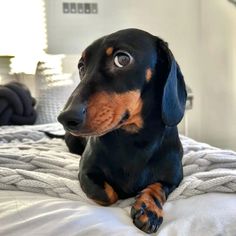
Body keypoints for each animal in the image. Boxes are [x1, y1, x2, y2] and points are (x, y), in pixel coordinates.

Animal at [57, 28, 186, 233]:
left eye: (123, 59)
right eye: (81, 66)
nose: (65, 117)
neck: (133, 139)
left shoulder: (175, 177)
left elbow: (157, 187)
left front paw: (148, 208)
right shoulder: (85, 172)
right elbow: (110, 194)